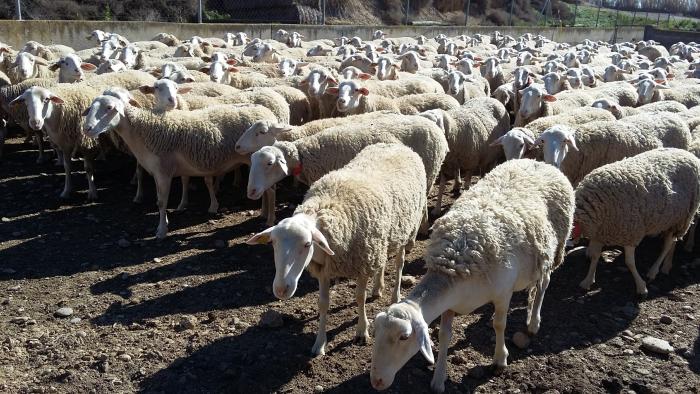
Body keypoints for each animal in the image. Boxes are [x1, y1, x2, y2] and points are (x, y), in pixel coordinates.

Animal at [81, 97, 276, 239]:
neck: (141, 131)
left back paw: (268, 218)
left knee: (270, 189)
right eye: (90, 108)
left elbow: (161, 202)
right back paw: (263, 213)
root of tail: (267, 113)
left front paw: (161, 231)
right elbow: (169, 192)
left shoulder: (163, 171)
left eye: (109, 108)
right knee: (266, 189)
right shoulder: (160, 171)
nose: (87, 129)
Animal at [247, 143, 426, 356]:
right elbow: (323, 303)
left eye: (307, 244)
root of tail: (397, 144)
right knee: (382, 261)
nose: (281, 289)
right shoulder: (325, 269)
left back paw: (395, 295)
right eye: (273, 243)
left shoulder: (362, 262)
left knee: (399, 263)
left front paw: (362, 331)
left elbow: (359, 297)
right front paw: (319, 344)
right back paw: (377, 287)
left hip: (406, 229)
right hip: (382, 238)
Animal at [372, 159, 576, 392]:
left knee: (543, 285)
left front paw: (500, 359)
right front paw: (438, 379)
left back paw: (534, 323)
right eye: (376, 332)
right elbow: (444, 335)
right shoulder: (449, 304)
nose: (376, 381)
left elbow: (500, 324)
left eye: (404, 337)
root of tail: (540, 162)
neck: (453, 263)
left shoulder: (503, 292)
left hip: (555, 249)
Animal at [576, 149, 700, 296]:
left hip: (685, 216)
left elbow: (629, 262)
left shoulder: (630, 231)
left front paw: (641, 287)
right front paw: (587, 280)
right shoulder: (600, 232)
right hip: (672, 219)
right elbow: (595, 256)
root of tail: (688, 153)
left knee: (668, 244)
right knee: (672, 241)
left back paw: (653, 271)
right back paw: (667, 265)